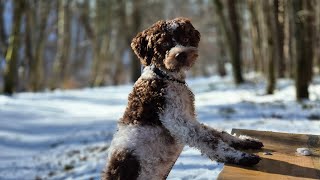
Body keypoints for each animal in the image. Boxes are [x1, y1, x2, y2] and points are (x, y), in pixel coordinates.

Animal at [102, 17, 262, 180]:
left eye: (185, 39)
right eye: (164, 44)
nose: (181, 55)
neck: (165, 77)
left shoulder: (189, 118)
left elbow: (218, 133)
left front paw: (244, 141)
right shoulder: (180, 122)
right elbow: (210, 141)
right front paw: (240, 156)